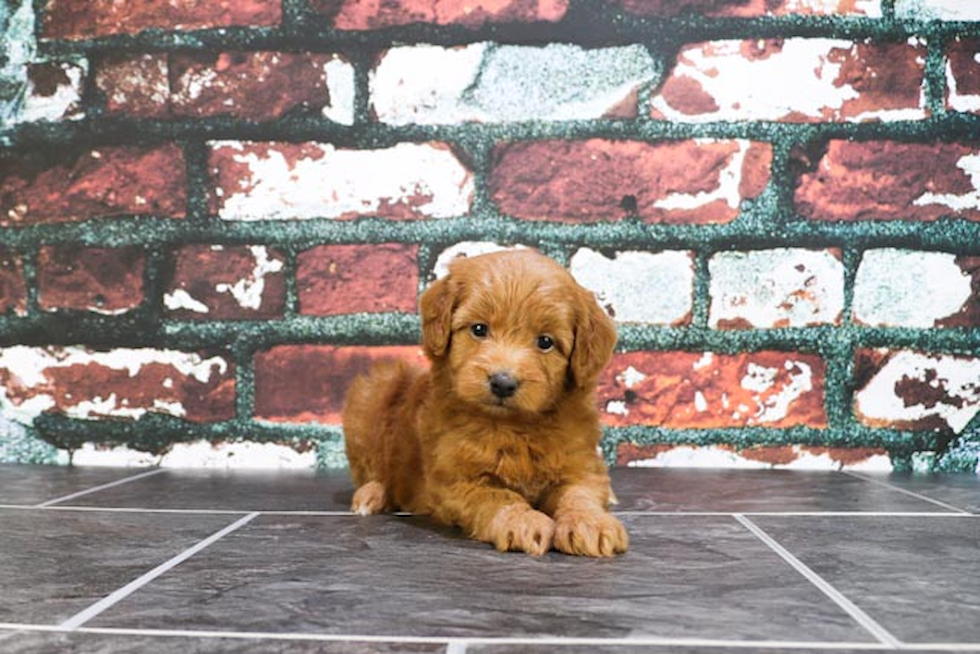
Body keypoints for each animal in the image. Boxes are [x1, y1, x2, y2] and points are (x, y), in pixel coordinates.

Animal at [340, 250, 628, 560]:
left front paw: (591, 524)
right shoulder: (458, 480)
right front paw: (523, 521)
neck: (515, 426)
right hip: (371, 395)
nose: (502, 382)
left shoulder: (578, 464)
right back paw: (371, 495)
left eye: (545, 342)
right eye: (479, 329)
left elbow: (579, 493)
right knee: (374, 471)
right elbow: (498, 495)